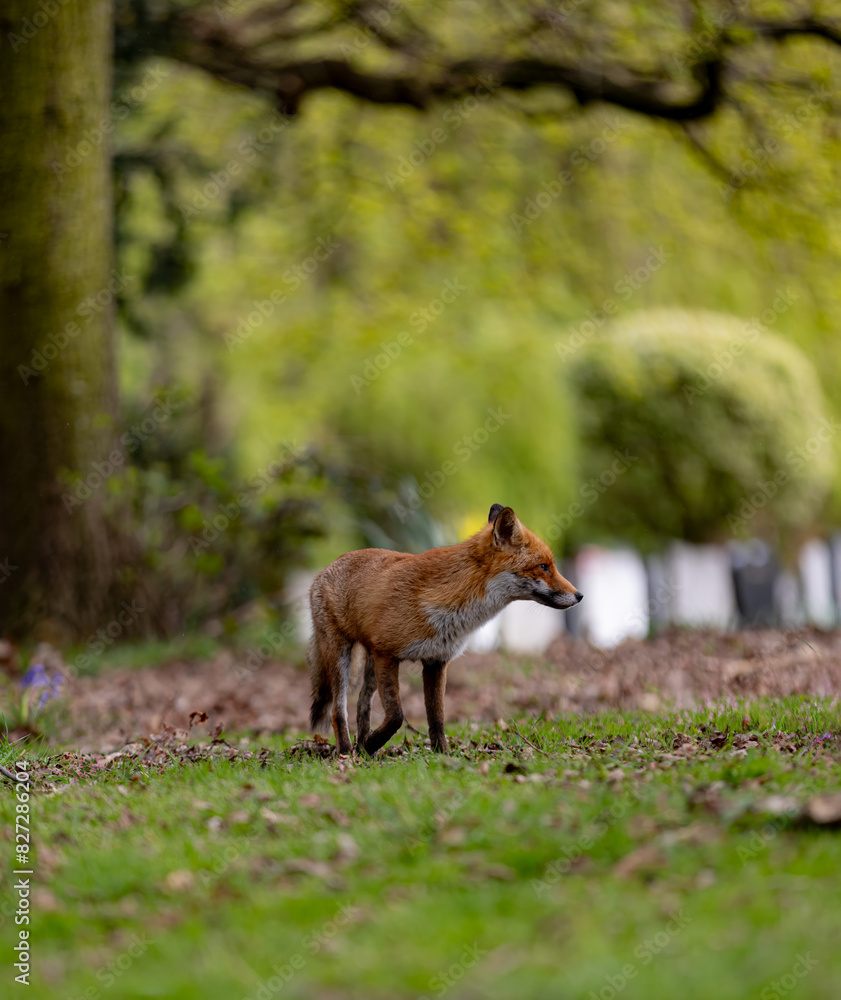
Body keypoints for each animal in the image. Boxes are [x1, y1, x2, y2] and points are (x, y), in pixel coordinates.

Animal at [308, 504, 582, 756]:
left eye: (552, 565)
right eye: (544, 566)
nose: (580, 595)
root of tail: (325, 569)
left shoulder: (436, 661)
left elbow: (437, 717)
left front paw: (442, 754)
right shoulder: (388, 654)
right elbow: (397, 716)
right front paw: (372, 744)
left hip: (371, 666)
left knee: (362, 706)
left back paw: (365, 750)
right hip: (342, 657)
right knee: (338, 711)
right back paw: (347, 751)